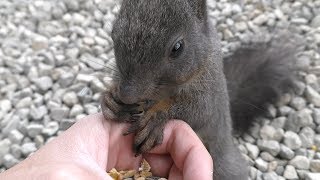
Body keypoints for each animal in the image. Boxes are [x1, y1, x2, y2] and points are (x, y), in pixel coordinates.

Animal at [100, 0, 298, 179]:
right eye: (113, 33)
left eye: (177, 48)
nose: (127, 95)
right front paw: (110, 101)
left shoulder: (209, 89)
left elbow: (198, 111)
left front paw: (155, 119)